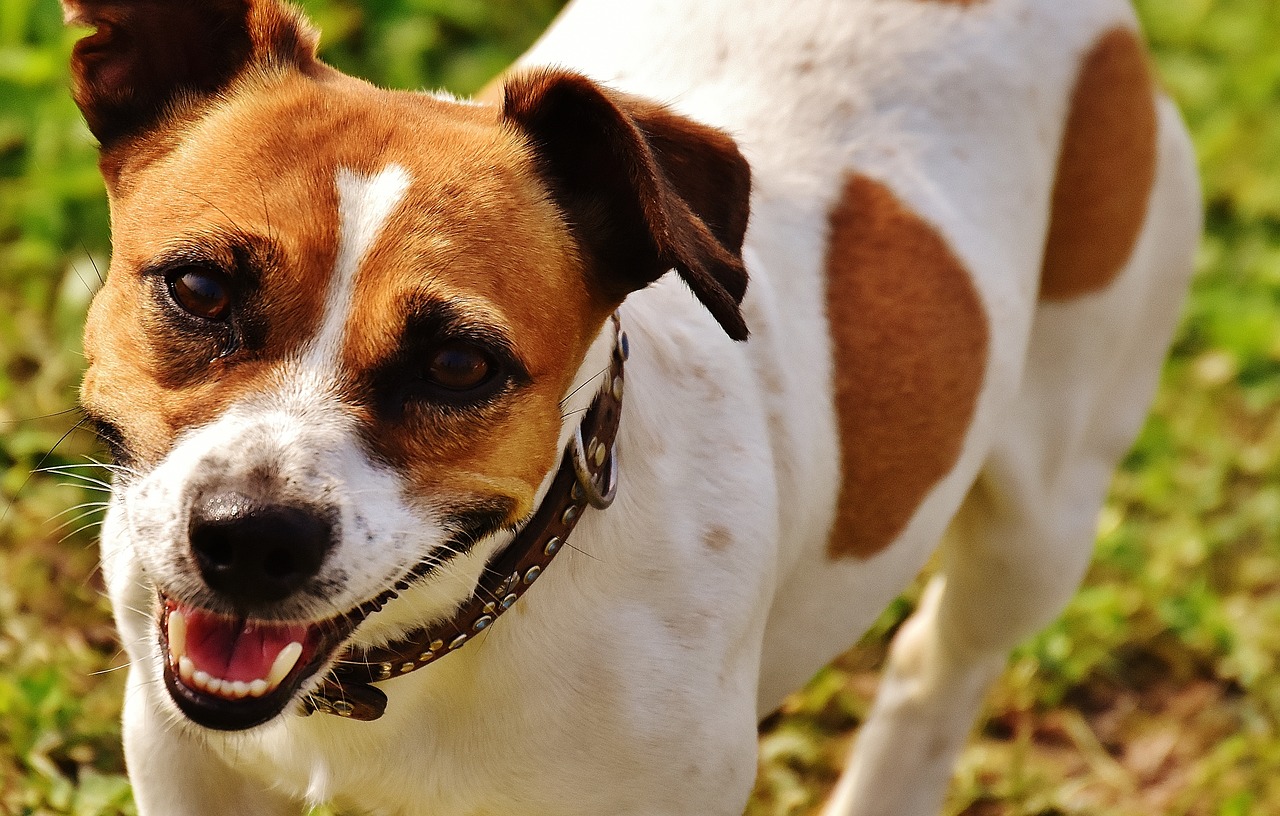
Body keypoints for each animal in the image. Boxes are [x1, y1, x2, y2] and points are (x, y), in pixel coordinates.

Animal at [60, 0, 1198, 813]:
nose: (253, 538)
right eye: (199, 289)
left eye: (459, 366)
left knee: (940, 665)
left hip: (1040, 518)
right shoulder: (181, 749)